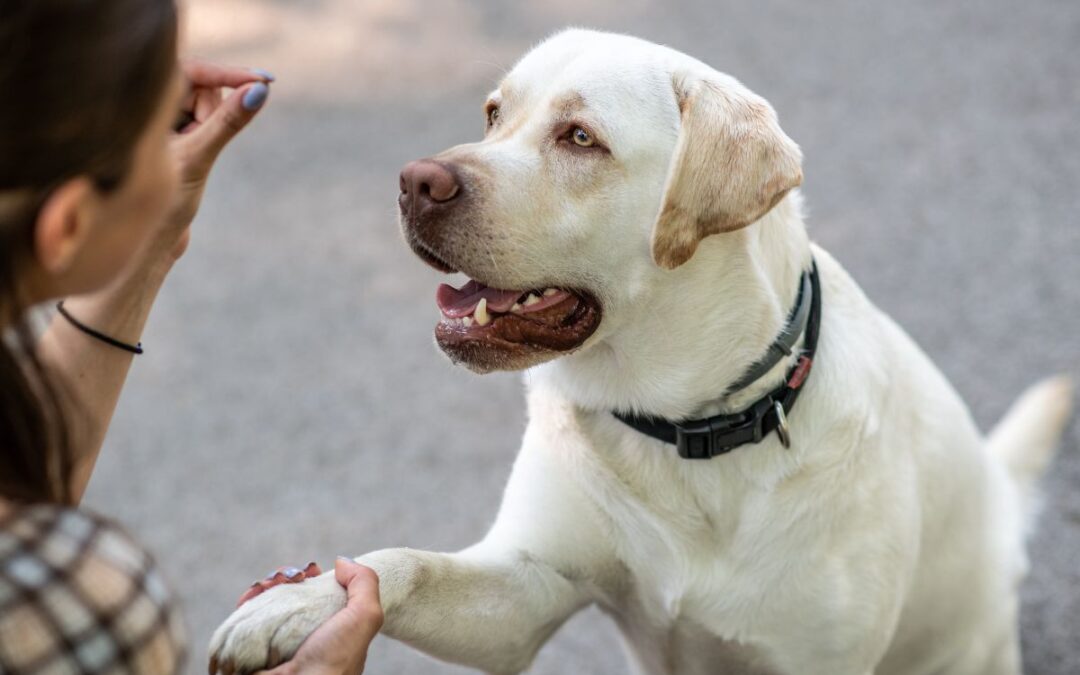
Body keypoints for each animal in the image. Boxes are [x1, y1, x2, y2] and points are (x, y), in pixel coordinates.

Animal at [208, 28, 1071, 669]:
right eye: (493, 113)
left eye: (580, 137)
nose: (415, 181)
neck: (685, 426)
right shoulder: (524, 591)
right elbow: (403, 563)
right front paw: (296, 604)